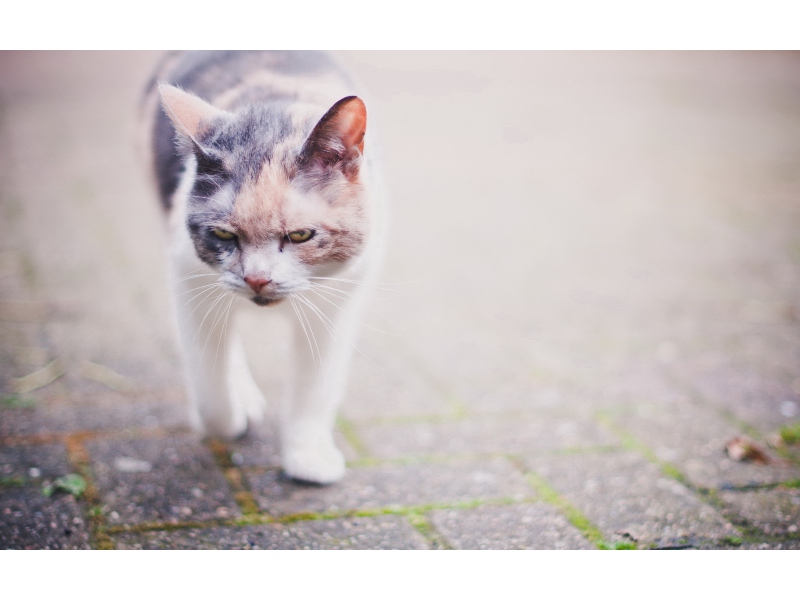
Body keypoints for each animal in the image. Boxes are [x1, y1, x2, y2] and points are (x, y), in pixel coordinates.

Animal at [141, 50, 384, 482]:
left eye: (301, 235)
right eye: (223, 234)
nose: (256, 278)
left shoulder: (336, 307)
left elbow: (315, 389)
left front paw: (307, 459)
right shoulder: (188, 282)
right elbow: (210, 388)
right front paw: (227, 419)